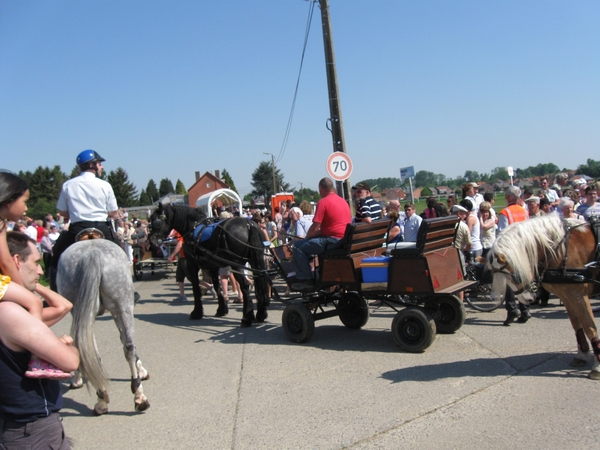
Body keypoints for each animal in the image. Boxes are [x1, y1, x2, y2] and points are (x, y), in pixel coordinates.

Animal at [56, 239, 150, 414]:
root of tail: (93, 253)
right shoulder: (116, 312)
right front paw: (141, 371)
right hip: (123, 307)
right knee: (128, 347)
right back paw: (138, 397)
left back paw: (102, 399)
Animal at [490, 214, 596, 380]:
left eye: (514, 274)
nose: (527, 299)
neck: (562, 249)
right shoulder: (568, 297)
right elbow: (577, 325)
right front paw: (582, 355)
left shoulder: (578, 296)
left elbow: (589, 327)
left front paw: (597, 366)